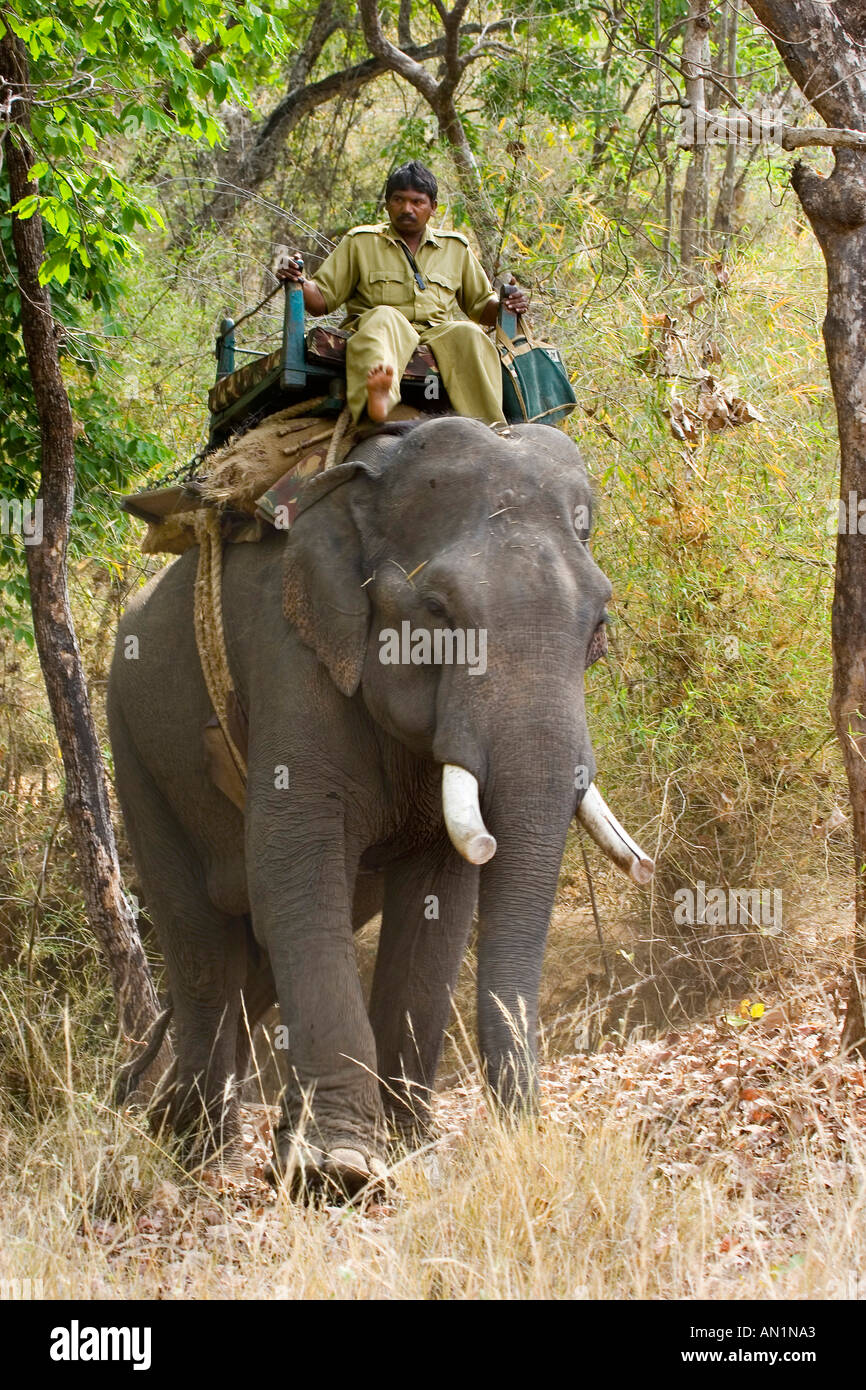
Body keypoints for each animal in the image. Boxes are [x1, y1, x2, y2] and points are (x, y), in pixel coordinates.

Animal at [107, 414, 650, 1195]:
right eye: (438, 612)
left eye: (598, 624)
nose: (525, 1137)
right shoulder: (292, 658)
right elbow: (295, 868)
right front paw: (341, 1173)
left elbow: (441, 894)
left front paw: (406, 1148)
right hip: (136, 748)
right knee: (203, 947)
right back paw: (195, 1156)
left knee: (254, 960)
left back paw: (201, 1136)